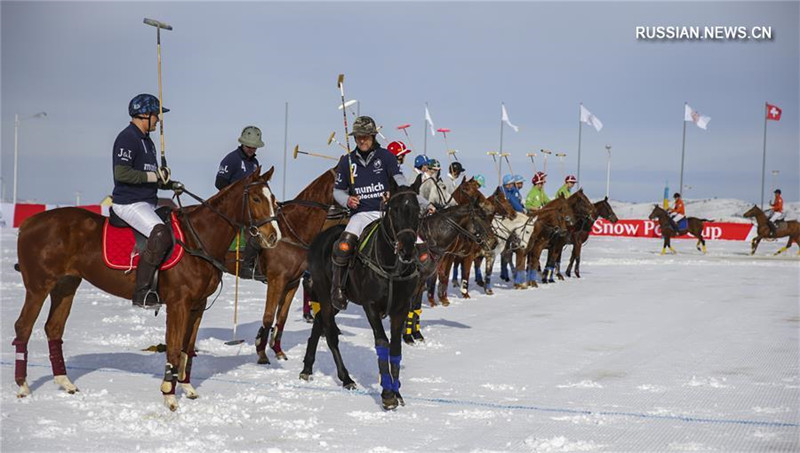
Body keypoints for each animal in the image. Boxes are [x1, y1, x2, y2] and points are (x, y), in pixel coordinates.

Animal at [11, 167, 282, 410]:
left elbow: (187, 348)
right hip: (38, 286)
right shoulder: (178, 304)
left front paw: (187, 387)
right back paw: (23, 386)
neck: (198, 240)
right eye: (256, 198)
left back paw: (65, 382)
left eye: (275, 201)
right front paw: (169, 396)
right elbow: (173, 348)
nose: (273, 237)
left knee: (53, 328)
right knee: (23, 327)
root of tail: (28, 223)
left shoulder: (198, 305)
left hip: (66, 285)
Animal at [222, 170, 338, 364]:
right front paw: (261, 351)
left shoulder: (292, 283)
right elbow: (269, 316)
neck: (291, 231)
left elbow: (281, 317)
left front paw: (277, 350)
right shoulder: (277, 280)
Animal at [300, 175, 424, 408]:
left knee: (319, 322)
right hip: (325, 293)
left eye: (417, 210)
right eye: (394, 209)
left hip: (336, 301)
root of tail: (319, 238)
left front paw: (397, 392)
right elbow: (382, 342)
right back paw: (346, 378)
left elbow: (395, 347)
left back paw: (307, 368)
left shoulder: (401, 308)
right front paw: (387, 394)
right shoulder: (371, 306)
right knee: (330, 334)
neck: (391, 266)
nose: (407, 249)